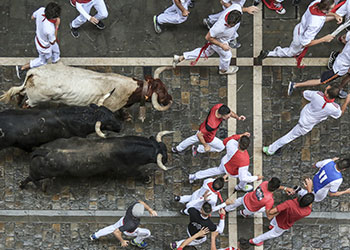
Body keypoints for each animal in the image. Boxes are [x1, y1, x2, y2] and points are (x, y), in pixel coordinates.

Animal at [0, 63, 173, 120]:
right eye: (162, 92)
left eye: (164, 87)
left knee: (21, 93)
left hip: (29, 91)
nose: (171, 98)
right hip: (36, 99)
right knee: (27, 103)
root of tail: (34, 72)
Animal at [19, 131, 173, 188]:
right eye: (164, 155)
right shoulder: (128, 170)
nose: (167, 159)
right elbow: (139, 173)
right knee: (30, 178)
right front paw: (146, 178)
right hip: (39, 173)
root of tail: (43, 151)